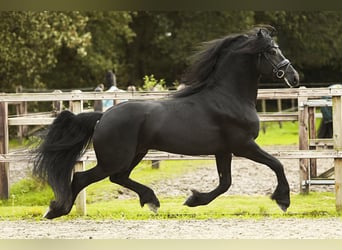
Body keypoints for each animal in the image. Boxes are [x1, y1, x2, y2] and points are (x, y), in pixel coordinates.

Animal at [32, 26, 300, 220]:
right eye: (273, 51)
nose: (294, 77)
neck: (228, 97)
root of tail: (103, 117)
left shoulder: (223, 150)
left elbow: (225, 183)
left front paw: (193, 200)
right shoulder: (243, 145)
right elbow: (277, 164)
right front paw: (283, 200)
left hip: (136, 153)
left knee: (118, 178)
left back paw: (151, 200)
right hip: (115, 158)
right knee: (83, 178)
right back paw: (55, 211)